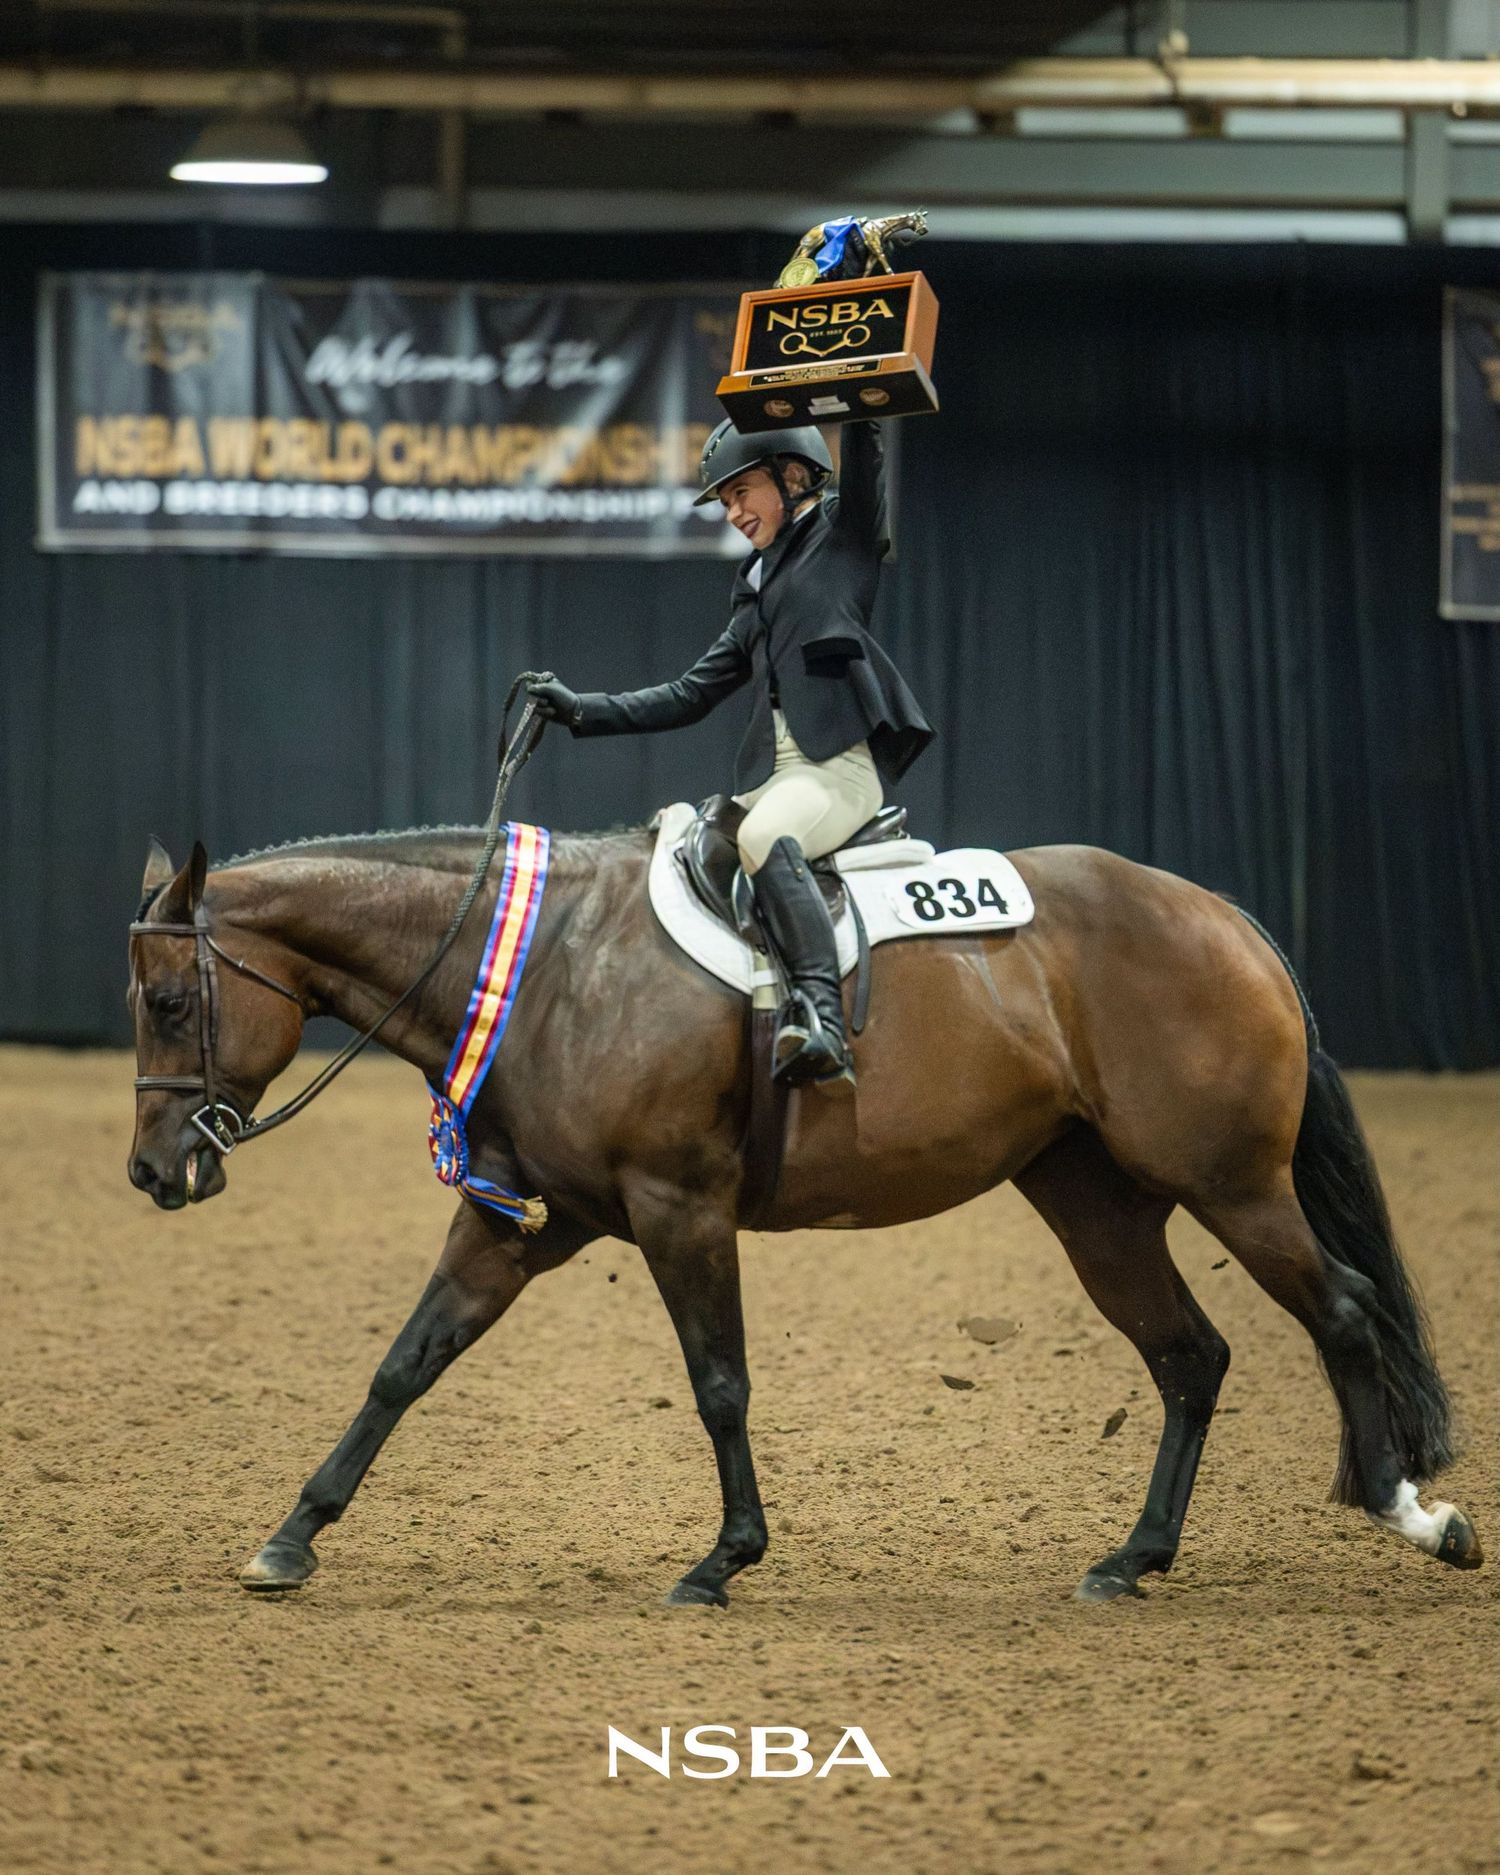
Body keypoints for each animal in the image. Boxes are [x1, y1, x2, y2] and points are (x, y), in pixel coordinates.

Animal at [126, 820, 1483, 1607]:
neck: (553, 965)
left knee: (1344, 1311)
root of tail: (1225, 916)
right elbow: (406, 1365)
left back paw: (1412, 1513)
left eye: (171, 1005)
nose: (152, 1173)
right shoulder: (524, 1221)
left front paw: (724, 1560)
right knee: (1191, 1356)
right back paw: (1133, 1557)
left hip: (1232, 1186)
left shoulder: (679, 1209)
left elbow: (720, 1382)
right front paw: (292, 1538)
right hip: (1096, 1205)